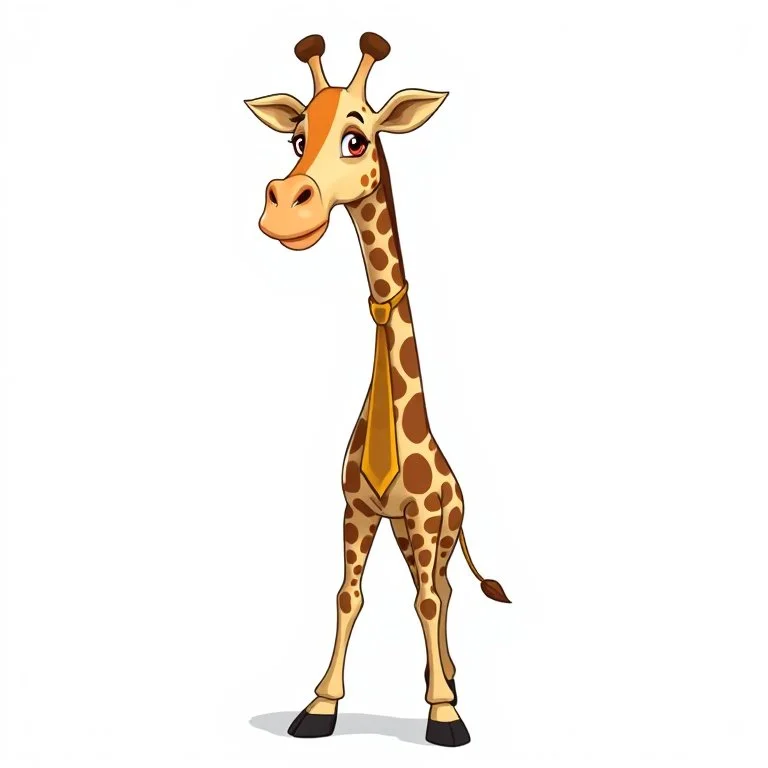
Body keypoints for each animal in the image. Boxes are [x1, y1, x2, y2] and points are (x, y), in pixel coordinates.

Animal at [245, 32, 510, 748]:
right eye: (295, 137)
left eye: (356, 137)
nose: (285, 206)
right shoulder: (358, 510)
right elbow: (347, 594)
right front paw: (320, 705)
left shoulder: (418, 517)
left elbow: (425, 600)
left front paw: (444, 716)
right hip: (406, 531)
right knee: (438, 592)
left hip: (440, 530)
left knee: (441, 590)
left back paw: (448, 683)